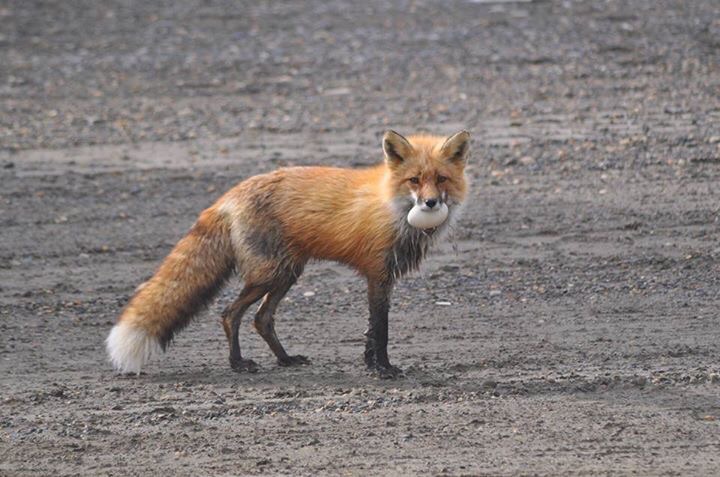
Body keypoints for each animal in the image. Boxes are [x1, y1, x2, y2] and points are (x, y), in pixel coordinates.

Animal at [106, 130, 470, 378]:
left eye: (441, 179)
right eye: (414, 180)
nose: (430, 203)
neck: (393, 208)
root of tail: (228, 195)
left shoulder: (384, 277)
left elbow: (371, 333)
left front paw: (370, 364)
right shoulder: (377, 274)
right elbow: (380, 330)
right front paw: (383, 369)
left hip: (287, 273)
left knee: (261, 319)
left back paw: (284, 359)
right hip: (270, 273)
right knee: (230, 314)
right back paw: (237, 363)